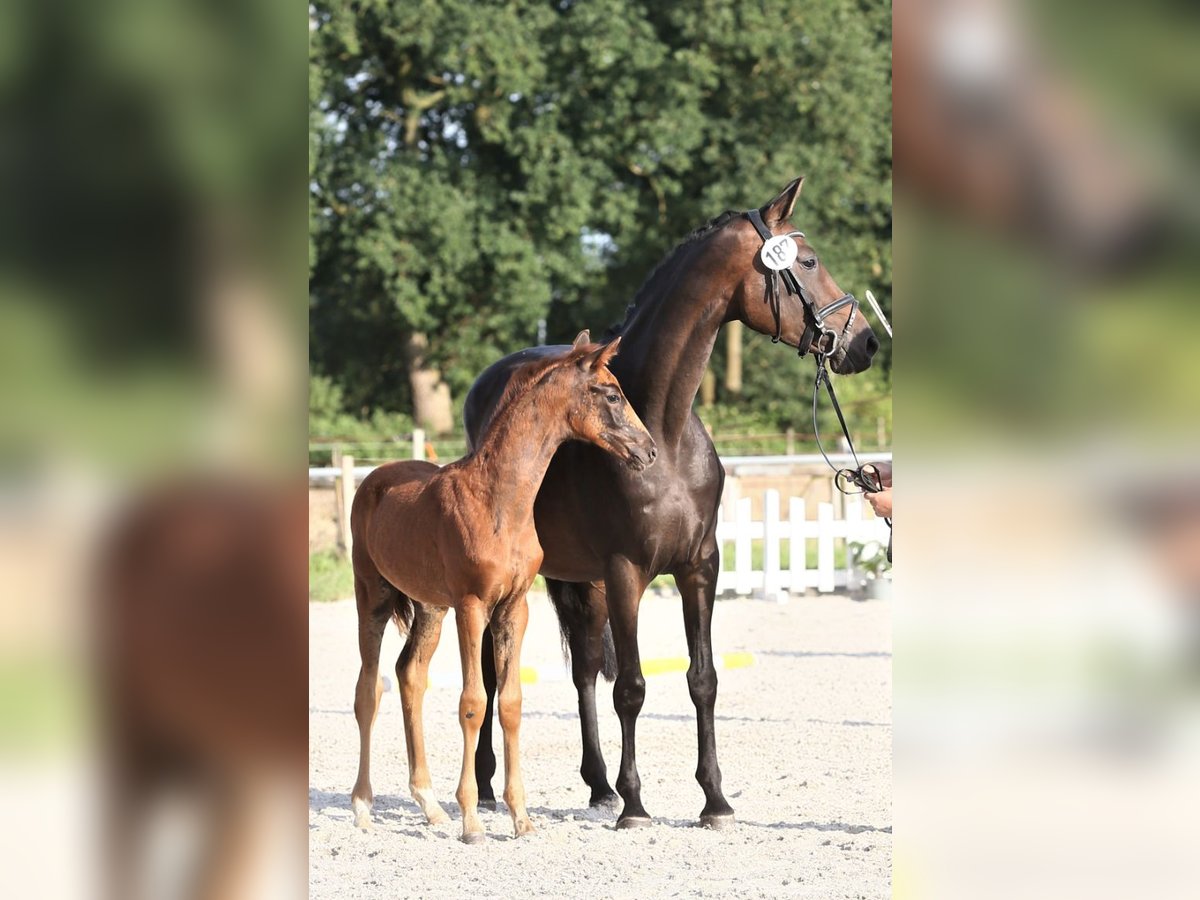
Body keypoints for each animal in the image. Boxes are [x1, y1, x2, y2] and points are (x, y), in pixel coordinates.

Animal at [348, 333, 657, 844]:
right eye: (612, 394)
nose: (649, 451)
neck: (498, 499)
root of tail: (373, 478)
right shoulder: (472, 605)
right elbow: (473, 703)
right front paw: (473, 820)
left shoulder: (514, 608)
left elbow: (510, 703)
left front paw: (521, 819)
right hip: (372, 598)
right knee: (368, 692)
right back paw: (362, 806)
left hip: (431, 608)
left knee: (410, 676)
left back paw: (429, 805)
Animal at [458, 177, 883, 830]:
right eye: (808, 262)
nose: (864, 342)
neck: (664, 427)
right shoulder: (626, 571)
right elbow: (632, 687)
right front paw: (636, 805)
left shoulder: (698, 566)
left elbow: (701, 679)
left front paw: (714, 800)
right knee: (491, 663)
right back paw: (487, 783)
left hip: (582, 581)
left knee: (583, 667)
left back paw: (598, 784)